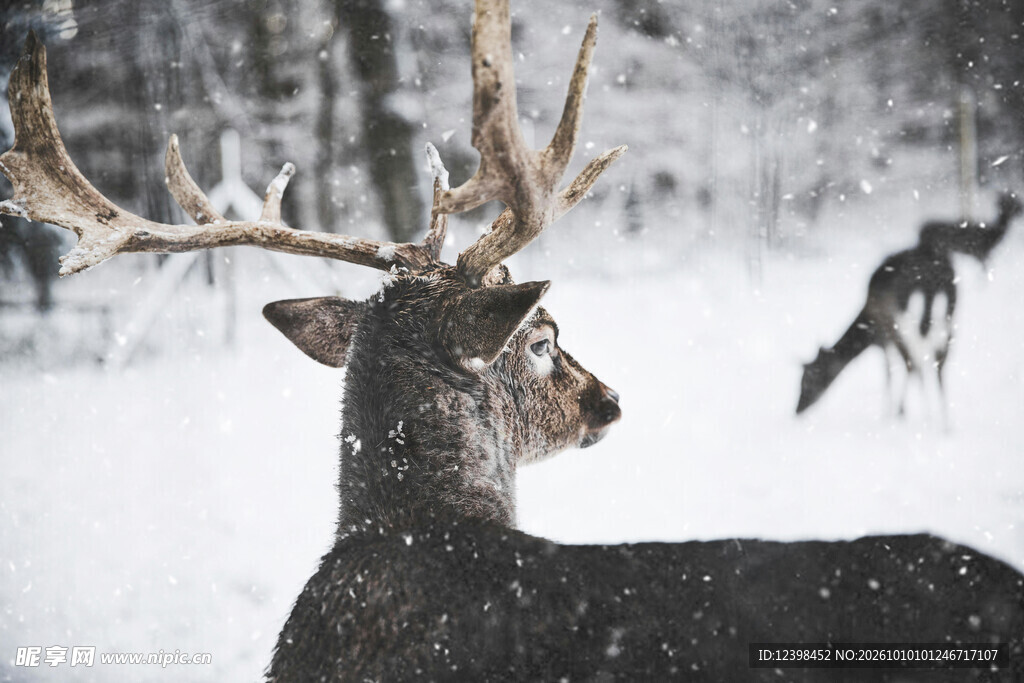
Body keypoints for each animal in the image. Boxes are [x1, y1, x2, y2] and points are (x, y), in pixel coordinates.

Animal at [797, 192, 1022, 423]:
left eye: (808, 379)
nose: (797, 410)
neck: (866, 326)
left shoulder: (885, 334)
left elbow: (892, 371)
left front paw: (892, 413)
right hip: (947, 309)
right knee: (938, 358)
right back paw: (943, 420)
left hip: (909, 318)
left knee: (918, 360)